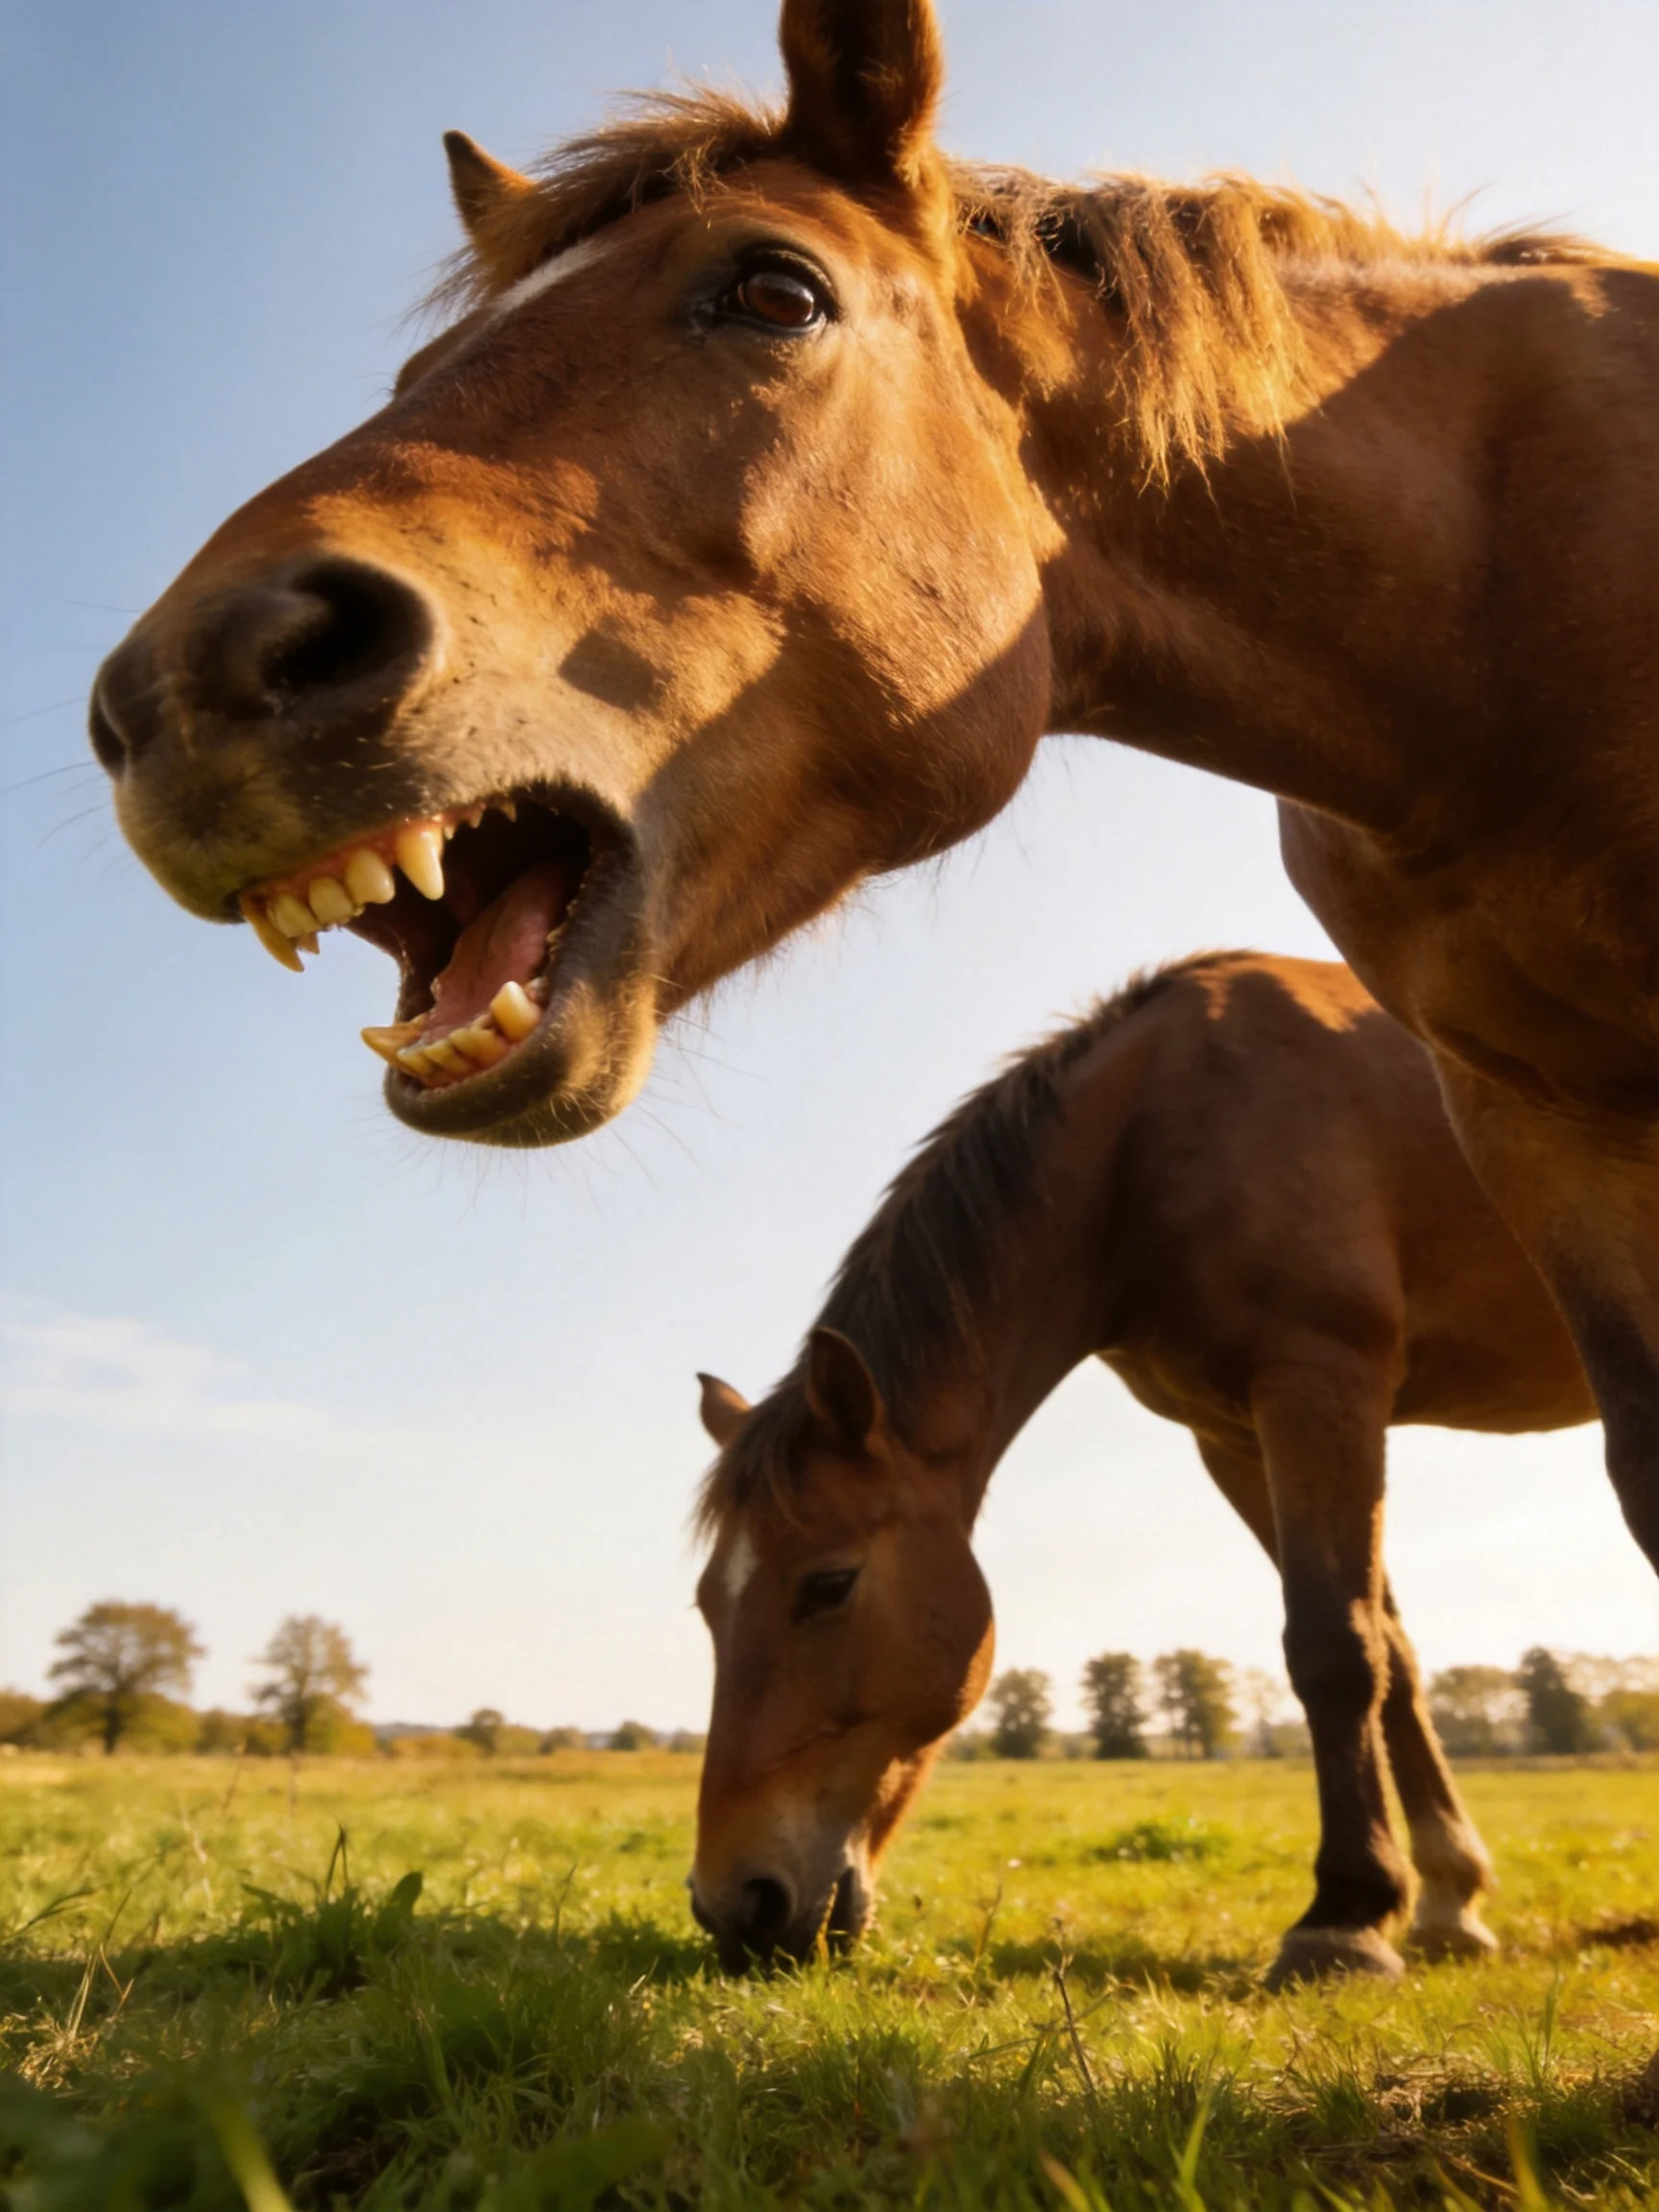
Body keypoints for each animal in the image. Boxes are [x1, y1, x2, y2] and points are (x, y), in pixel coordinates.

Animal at [688, 952, 1595, 1982]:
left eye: (828, 1585)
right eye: (708, 1605)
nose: (733, 1904)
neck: (1156, 1133)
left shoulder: (1322, 1384)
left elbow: (1334, 1645)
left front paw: (1344, 1915)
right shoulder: (1235, 1437)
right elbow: (1392, 1654)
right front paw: (1447, 1897)